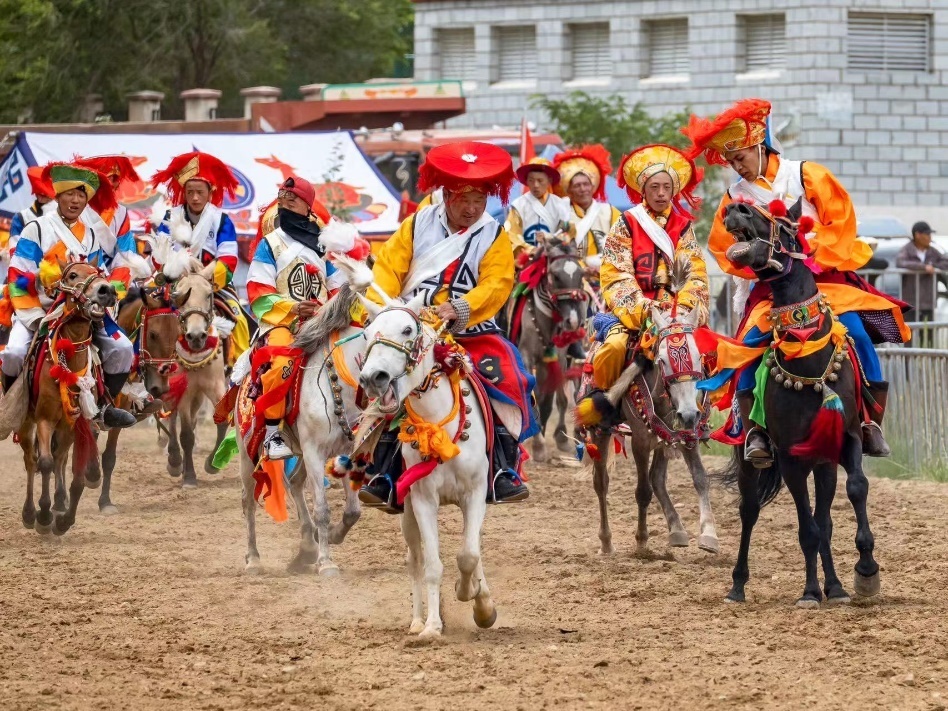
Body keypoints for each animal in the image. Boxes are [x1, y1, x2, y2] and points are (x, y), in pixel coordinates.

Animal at [18, 264, 117, 536]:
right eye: (73, 275)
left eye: (100, 272)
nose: (106, 291)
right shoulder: (44, 419)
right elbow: (44, 463)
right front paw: (43, 516)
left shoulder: (76, 423)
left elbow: (76, 473)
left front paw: (63, 519)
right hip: (27, 422)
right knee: (31, 460)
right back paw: (30, 513)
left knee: (60, 458)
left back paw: (59, 503)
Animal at [360, 294, 500, 640]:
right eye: (367, 334)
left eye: (407, 329)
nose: (373, 378)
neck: (438, 428)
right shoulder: (423, 500)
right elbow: (433, 566)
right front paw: (433, 626)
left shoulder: (475, 494)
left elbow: (469, 555)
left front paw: (477, 601)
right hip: (407, 511)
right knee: (415, 560)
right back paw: (416, 621)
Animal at [720, 197, 880, 608]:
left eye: (790, 225)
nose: (737, 208)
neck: (808, 361)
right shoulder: (791, 457)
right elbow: (805, 527)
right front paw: (809, 592)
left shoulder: (844, 440)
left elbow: (854, 491)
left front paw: (864, 572)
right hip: (754, 459)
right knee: (749, 510)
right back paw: (737, 586)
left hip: (821, 462)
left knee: (825, 520)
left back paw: (835, 586)